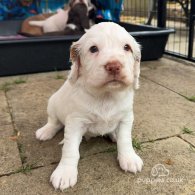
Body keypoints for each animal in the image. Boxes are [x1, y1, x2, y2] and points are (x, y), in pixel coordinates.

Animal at [35, 21, 143, 190]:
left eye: (127, 47)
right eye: (93, 49)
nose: (114, 66)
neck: (106, 95)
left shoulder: (126, 117)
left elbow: (125, 139)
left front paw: (129, 158)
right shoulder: (75, 122)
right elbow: (70, 149)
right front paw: (65, 172)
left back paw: (113, 134)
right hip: (52, 103)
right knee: (54, 122)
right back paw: (45, 132)